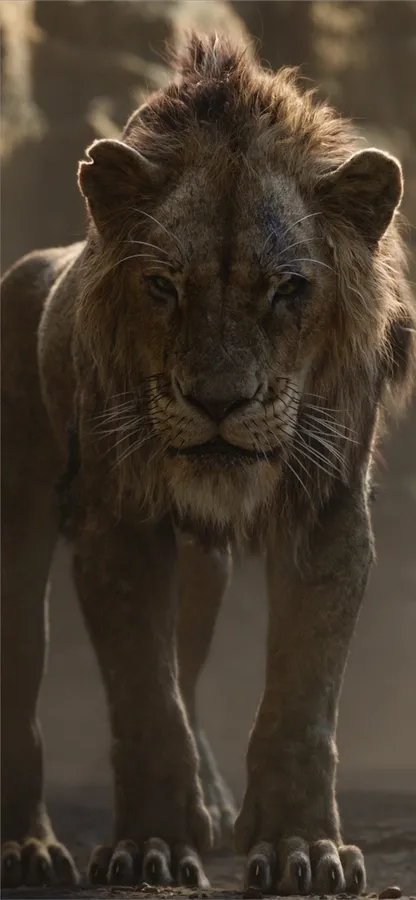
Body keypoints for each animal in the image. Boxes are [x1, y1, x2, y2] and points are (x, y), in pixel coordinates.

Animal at [2, 32, 415, 893]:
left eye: (289, 289)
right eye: (162, 285)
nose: (220, 401)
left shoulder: (328, 510)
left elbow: (300, 701)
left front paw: (299, 849)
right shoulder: (118, 521)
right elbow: (144, 701)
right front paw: (149, 846)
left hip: (201, 569)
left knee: (188, 665)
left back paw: (216, 806)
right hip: (16, 519)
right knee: (21, 681)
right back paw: (29, 848)